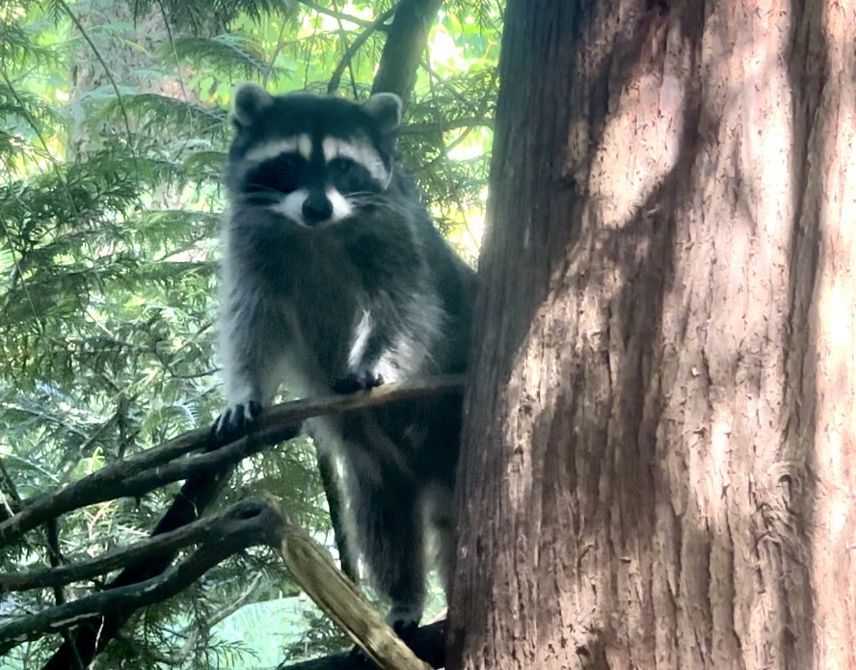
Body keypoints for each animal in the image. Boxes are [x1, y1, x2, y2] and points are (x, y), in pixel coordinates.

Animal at [212, 84, 474, 640]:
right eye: (288, 162)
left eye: (343, 166)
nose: (317, 206)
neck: (314, 232)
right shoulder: (251, 244)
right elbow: (251, 320)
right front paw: (244, 389)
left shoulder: (397, 237)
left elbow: (406, 308)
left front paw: (377, 359)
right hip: (376, 462)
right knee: (383, 523)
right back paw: (403, 596)